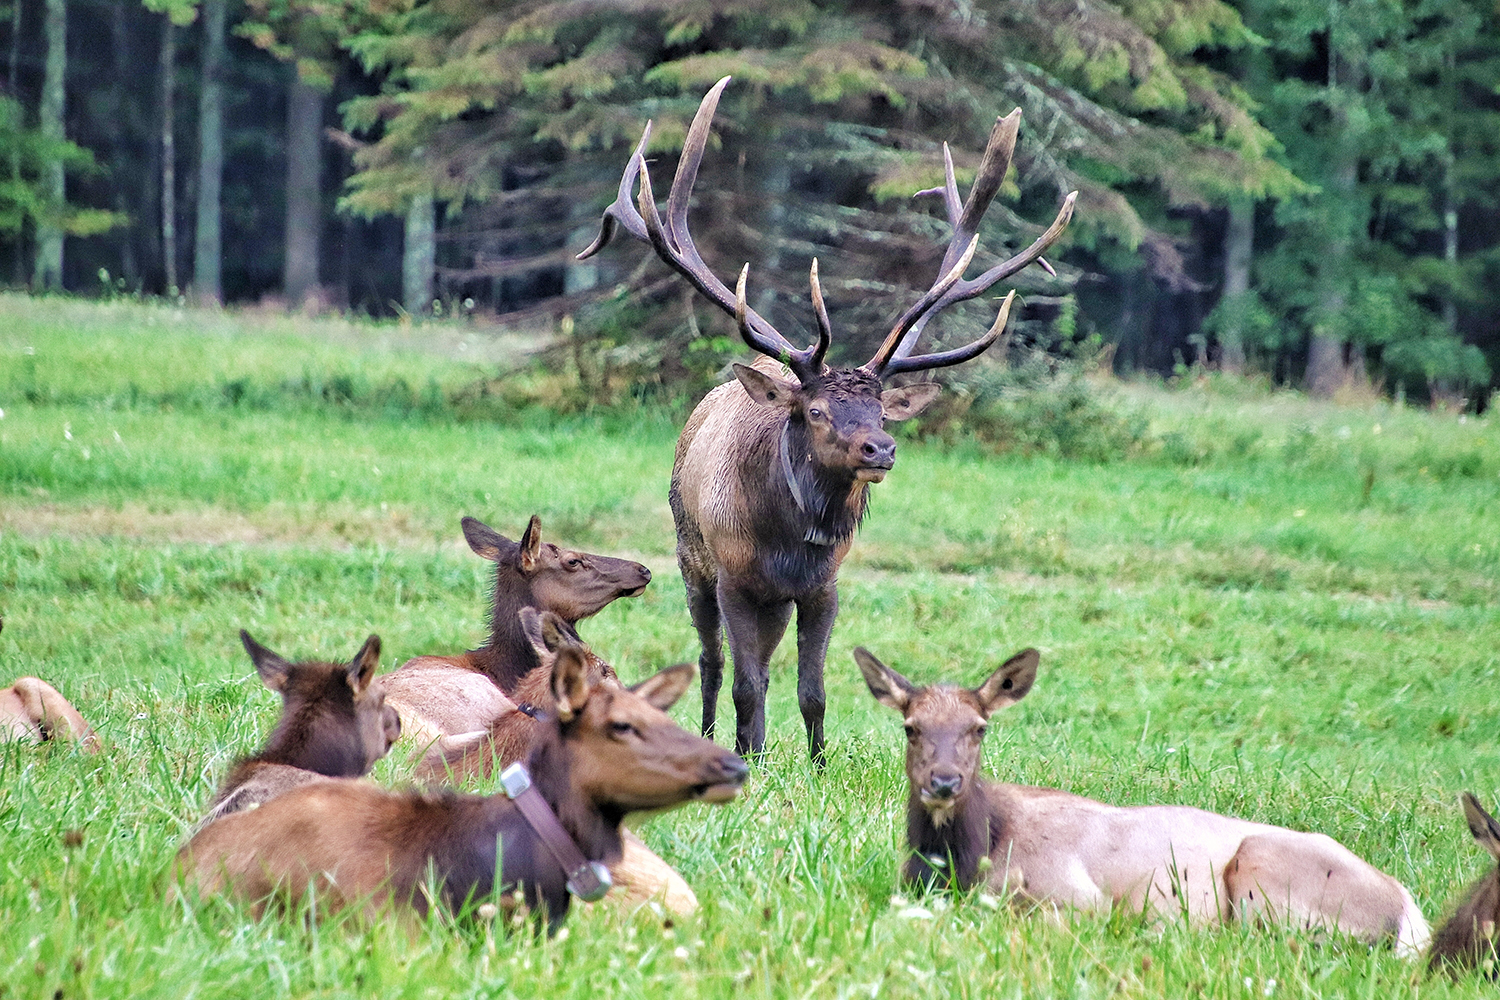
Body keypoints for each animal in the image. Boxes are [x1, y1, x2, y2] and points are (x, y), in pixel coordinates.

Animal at [578, 76, 1075, 761]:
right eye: (815, 410)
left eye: (879, 409)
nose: (880, 450)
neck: (790, 541)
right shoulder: (734, 577)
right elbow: (745, 683)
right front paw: (750, 761)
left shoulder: (822, 586)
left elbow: (811, 689)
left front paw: (814, 764)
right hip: (688, 557)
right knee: (711, 664)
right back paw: (713, 738)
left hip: (774, 601)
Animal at [854, 646, 1431, 957]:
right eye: (911, 727)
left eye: (979, 728)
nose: (944, 782)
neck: (962, 861)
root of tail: (1410, 911)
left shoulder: (1077, 896)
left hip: (1266, 874)